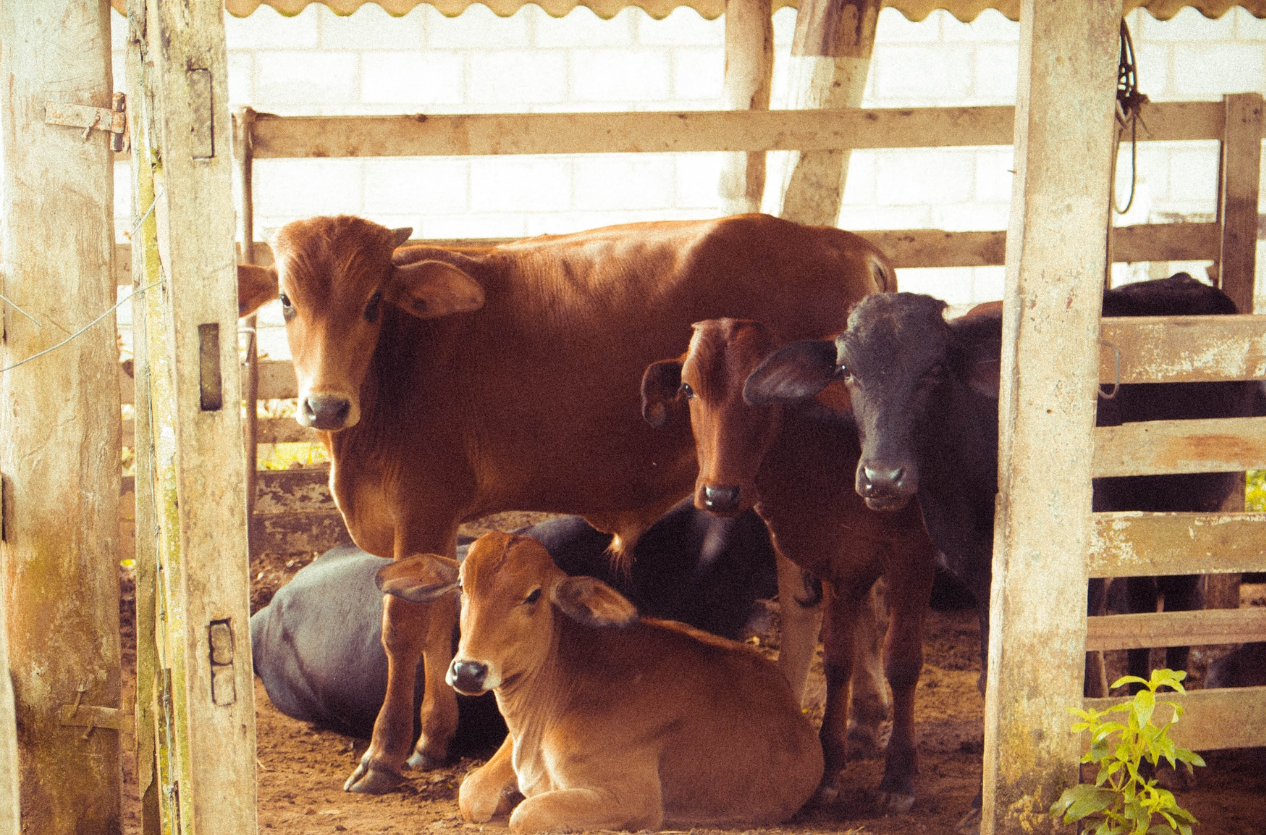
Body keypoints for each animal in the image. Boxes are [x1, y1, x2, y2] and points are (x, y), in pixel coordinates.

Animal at [374, 531, 820, 829]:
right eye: (462, 587)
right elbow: (471, 794)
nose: (468, 670)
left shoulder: (634, 799)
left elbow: (526, 814)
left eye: (534, 595)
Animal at [648, 317, 936, 809]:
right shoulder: (841, 565)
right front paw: (828, 769)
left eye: (763, 393)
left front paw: (898, 776)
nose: (719, 494)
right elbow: (837, 660)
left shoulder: (913, 556)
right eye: (687, 388)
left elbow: (901, 661)